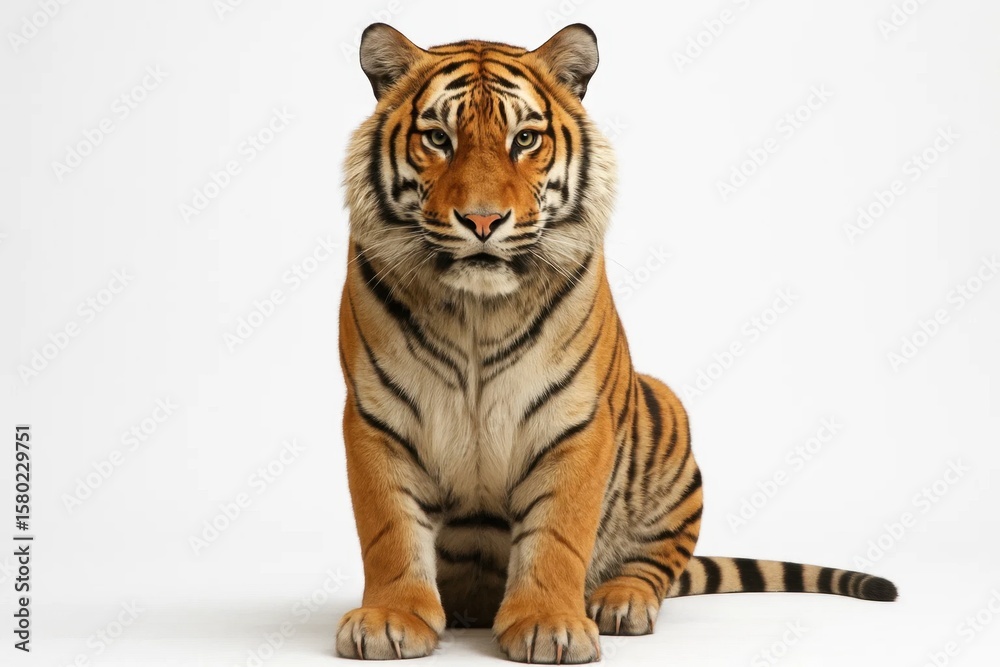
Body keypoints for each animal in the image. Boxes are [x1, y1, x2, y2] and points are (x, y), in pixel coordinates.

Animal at [336, 23, 897, 663]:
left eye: (524, 139)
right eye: (437, 138)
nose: (482, 221)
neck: (478, 309)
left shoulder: (577, 420)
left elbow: (558, 533)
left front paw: (549, 623)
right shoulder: (374, 417)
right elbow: (389, 529)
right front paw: (390, 618)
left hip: (668, 420)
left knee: (658, 561)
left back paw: (619, 601)